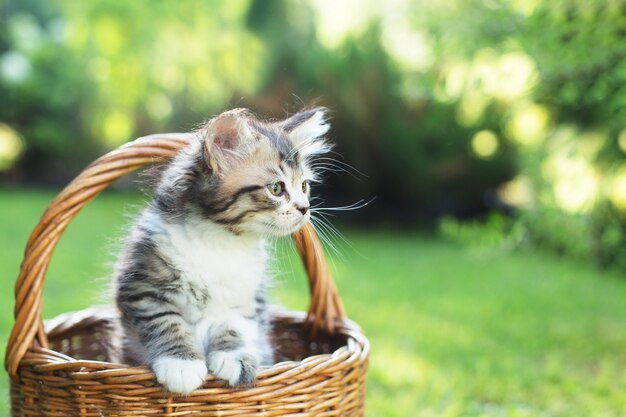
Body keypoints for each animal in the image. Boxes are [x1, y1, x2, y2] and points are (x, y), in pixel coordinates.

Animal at [112, 106, 332, 394]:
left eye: (304, 186)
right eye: (276, 188)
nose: (305, 208)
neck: (223, 240)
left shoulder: (246, 299)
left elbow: (233, 326)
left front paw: (235, 358)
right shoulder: (141, 285)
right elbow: (167, 321)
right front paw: (181, 364)